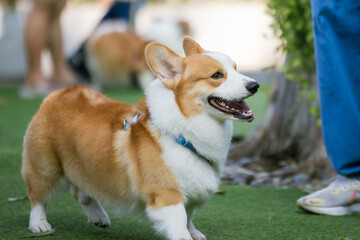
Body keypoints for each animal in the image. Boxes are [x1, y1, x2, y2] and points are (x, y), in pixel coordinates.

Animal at [21, 36, 258, 239]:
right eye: (217, 75)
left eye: (236, 69)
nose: (255, 85)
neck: (183, 134)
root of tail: (58, 93)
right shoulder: (167, 194)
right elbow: (180, 221)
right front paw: (185, 236)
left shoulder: (191, 191)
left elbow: (189, 216)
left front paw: (194, 233)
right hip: (45, 167)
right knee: (37, 197)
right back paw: (39, 224)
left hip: (82, 165)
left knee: (82, 191)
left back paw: (98, 216)